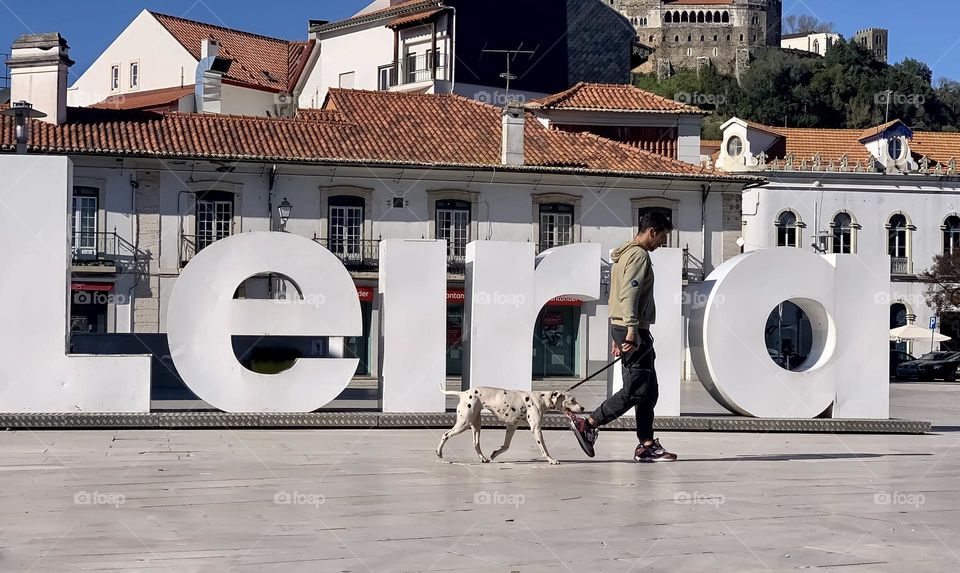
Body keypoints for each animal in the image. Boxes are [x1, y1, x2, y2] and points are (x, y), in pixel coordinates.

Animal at [436, 382, 584, 462]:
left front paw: (495, 454)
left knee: (476, 443)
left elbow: (506, 446)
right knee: (445, 434)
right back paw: (439, 452)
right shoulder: (536, 430)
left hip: (476, 425)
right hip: (464, 423)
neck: (541, 399)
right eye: (572, 400)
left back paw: (483, 458)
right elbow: (544, 448)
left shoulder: (512, 427)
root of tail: (463, 393)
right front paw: (551, 460)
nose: (582, 408)